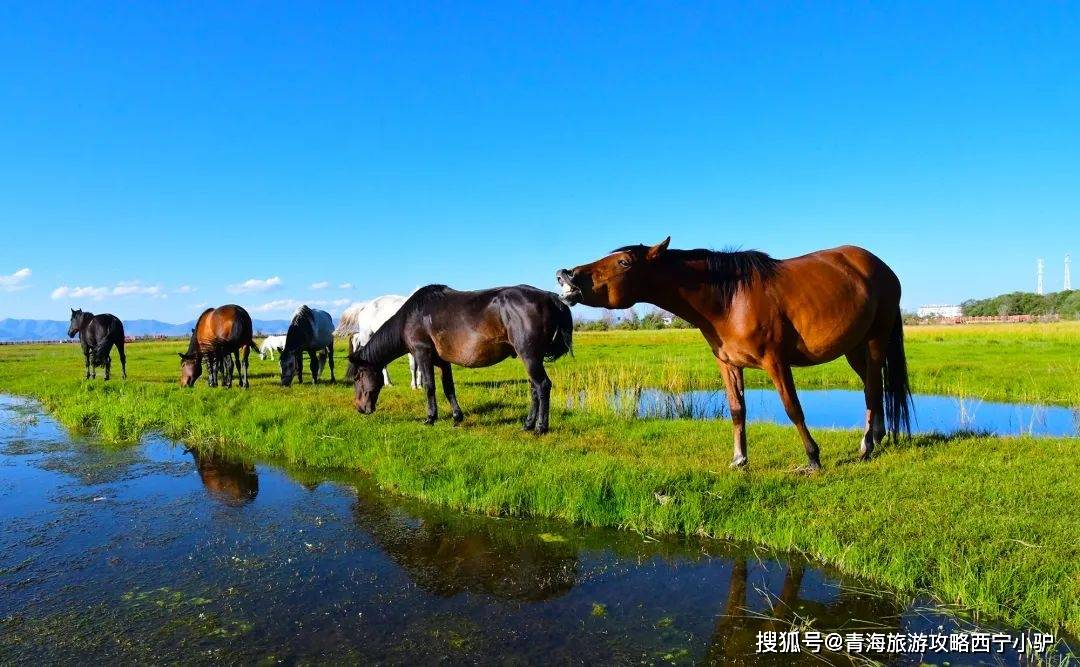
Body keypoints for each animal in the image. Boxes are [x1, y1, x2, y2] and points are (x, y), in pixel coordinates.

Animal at [349, 282, 578, 431]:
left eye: (358, 377)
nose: (360, 408)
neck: (412, 316)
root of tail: (551, 297)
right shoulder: (443, 361)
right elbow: (448, 388)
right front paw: (457, 417)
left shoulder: (423, 354)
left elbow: (430, 387)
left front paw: (430, 418)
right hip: (531, 358)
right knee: (534, 388)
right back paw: (528, 424)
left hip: (529, 356)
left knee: (542, 385)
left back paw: (540, 427)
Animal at [557, 237, 911, 468]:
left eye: (624, 262)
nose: (566, 275)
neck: (730, 300)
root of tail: (882, 268)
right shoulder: (728, 364)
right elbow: (737, 410)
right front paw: (739, 459)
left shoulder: (775, 362)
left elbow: (793, 408)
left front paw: (813, 458)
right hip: (855, 348)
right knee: (874, 388)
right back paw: (876, 439)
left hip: (876, 341)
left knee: (871, 390)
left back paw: (866, 446)